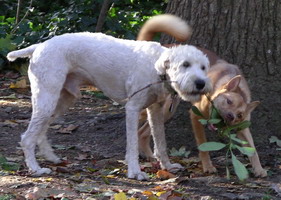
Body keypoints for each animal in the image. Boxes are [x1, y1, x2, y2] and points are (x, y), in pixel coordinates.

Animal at [7, 30, 210, 180]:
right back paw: (36, 169)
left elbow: (161, 142)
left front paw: (167, 165)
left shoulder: (155, 111)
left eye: (203, 67)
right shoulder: (132, 109)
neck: (156, 66)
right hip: (47, 99)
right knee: (27, 138)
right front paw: (135, 172)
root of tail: (39, 46)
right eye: (185, 64)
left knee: (40, 131)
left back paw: (51, 158)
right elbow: (133, 144)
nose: (200, 83)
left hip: (61, 101)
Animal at [137, 13, 266, 177]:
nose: (230, 117)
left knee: (143, 132)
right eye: (228, 101)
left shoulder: (242, 128)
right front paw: (208, 166)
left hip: (166, 111)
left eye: (239, 115)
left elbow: (253, 149)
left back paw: (149, 156)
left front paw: (259, 168)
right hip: (160, 105)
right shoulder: (195, 116)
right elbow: (203, 145)